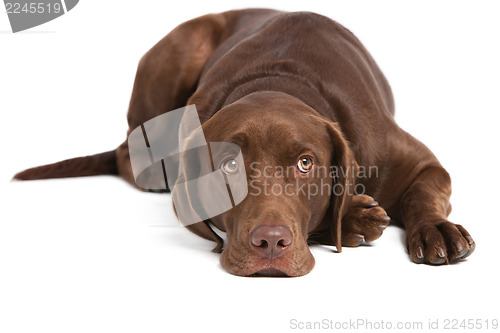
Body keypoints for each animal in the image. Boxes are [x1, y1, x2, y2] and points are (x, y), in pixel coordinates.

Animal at [13, 9, 474, 276]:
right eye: (228, 166)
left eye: (305, 164)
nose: (270, 244)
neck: (278, 78)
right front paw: (356, 217)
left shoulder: (417, 162)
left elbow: (422, 194)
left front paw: (435, 229)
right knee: (131, 155)